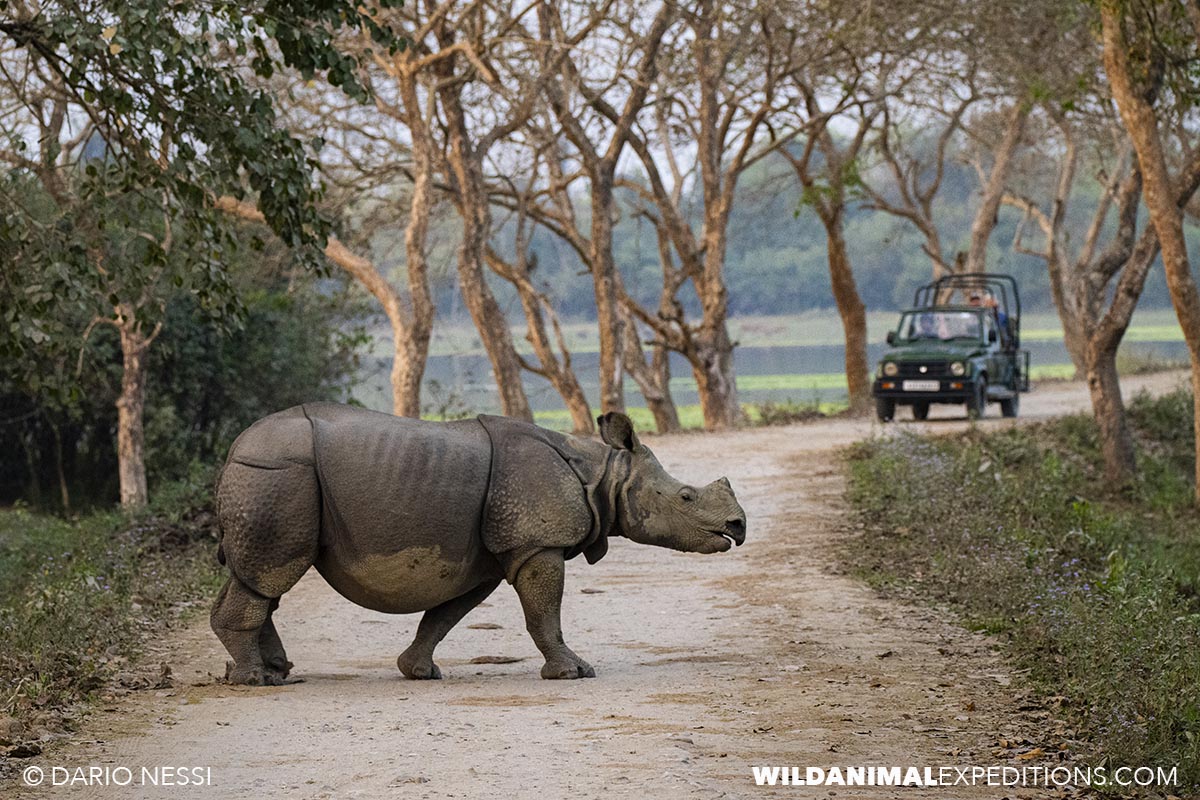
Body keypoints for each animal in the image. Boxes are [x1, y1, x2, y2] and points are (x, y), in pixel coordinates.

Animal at [211, 403, 747, 685]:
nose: (737, 527)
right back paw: (256, 681)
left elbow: (446, 614)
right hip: (278, 474)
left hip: (274, 478)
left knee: (259, 578)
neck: (603, 475)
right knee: (271, 573)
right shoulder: (536, 542)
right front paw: (572, 672)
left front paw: (417, 671)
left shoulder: (485, 556)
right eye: (685, 496)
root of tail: (234, 448)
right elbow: (544, 612)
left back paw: (273, 672)